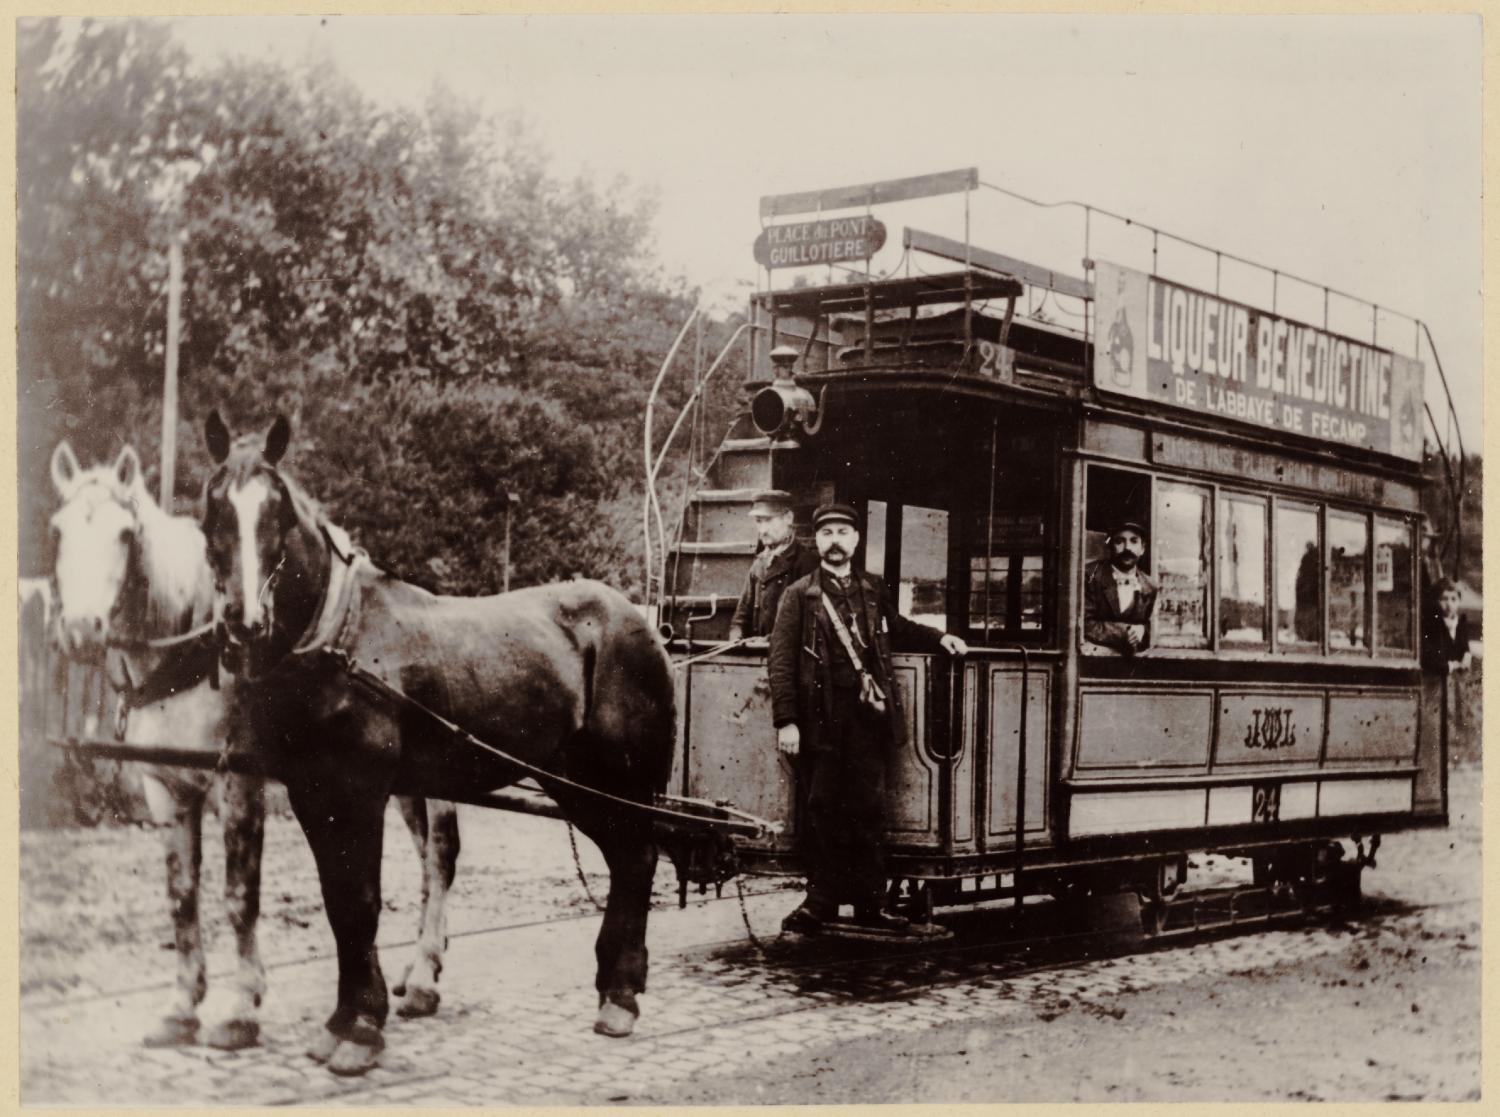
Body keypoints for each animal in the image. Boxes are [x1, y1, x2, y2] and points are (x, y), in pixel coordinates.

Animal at [199, 413, 675, 1073]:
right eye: (214, 507)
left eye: (279, 512)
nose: (243, 623)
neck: (341, 638)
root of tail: (638, 620)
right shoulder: (312, 792)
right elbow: (338, 902)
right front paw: (342, 1021)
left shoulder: (360, 790)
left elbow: (360, 900)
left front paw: (362, 1028)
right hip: (576, 784)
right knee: (629, 860)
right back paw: (615, 990)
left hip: (616, 781)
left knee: (638, 859)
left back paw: (621, 998)